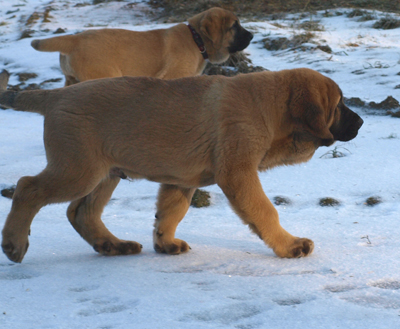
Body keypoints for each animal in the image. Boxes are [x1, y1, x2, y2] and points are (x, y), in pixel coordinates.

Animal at [0, 68, 362, 262]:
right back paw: (14, 243)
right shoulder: (238, 173)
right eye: (339, 104)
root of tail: (55, 96)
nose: (360, 121)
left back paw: (113, 245)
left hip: (104, 172)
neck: (270, 109)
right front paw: (290, 246)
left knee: (80, 212)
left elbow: (171, 212)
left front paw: (165, 243)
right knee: (28, 188)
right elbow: (265, 211)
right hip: (78, 169)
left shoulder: (182, 179)